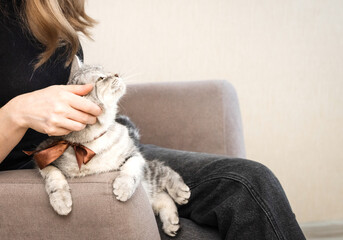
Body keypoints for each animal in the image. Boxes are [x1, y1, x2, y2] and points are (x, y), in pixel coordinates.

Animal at [31, 56, 191, 238]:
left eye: (105, 70)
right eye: (101, 78)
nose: (115, 74)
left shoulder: (134, 154)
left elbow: (130, 170)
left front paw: (123, 187)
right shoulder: (42, 156)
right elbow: (54, 176)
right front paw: (61, 200)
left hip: (149, 173)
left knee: (164, 171)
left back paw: (180, 193)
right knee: (161, 194)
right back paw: (171, 221)